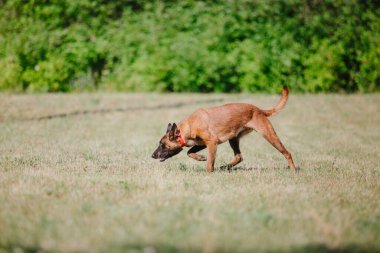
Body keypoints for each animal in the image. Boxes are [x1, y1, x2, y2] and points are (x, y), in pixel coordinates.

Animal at [152, 86, 296, 172]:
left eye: (162, 145)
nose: (152, 155)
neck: (188, 127)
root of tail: (259, 110)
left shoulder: (212, 143)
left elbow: (209, 163)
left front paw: (208, 173)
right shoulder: (202, 143)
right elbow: (189, 152)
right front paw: (200, 158)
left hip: (269, 135)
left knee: (287, 153)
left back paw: (293, 170)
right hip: (233, 139)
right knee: (239, 157)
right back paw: (225, 167)